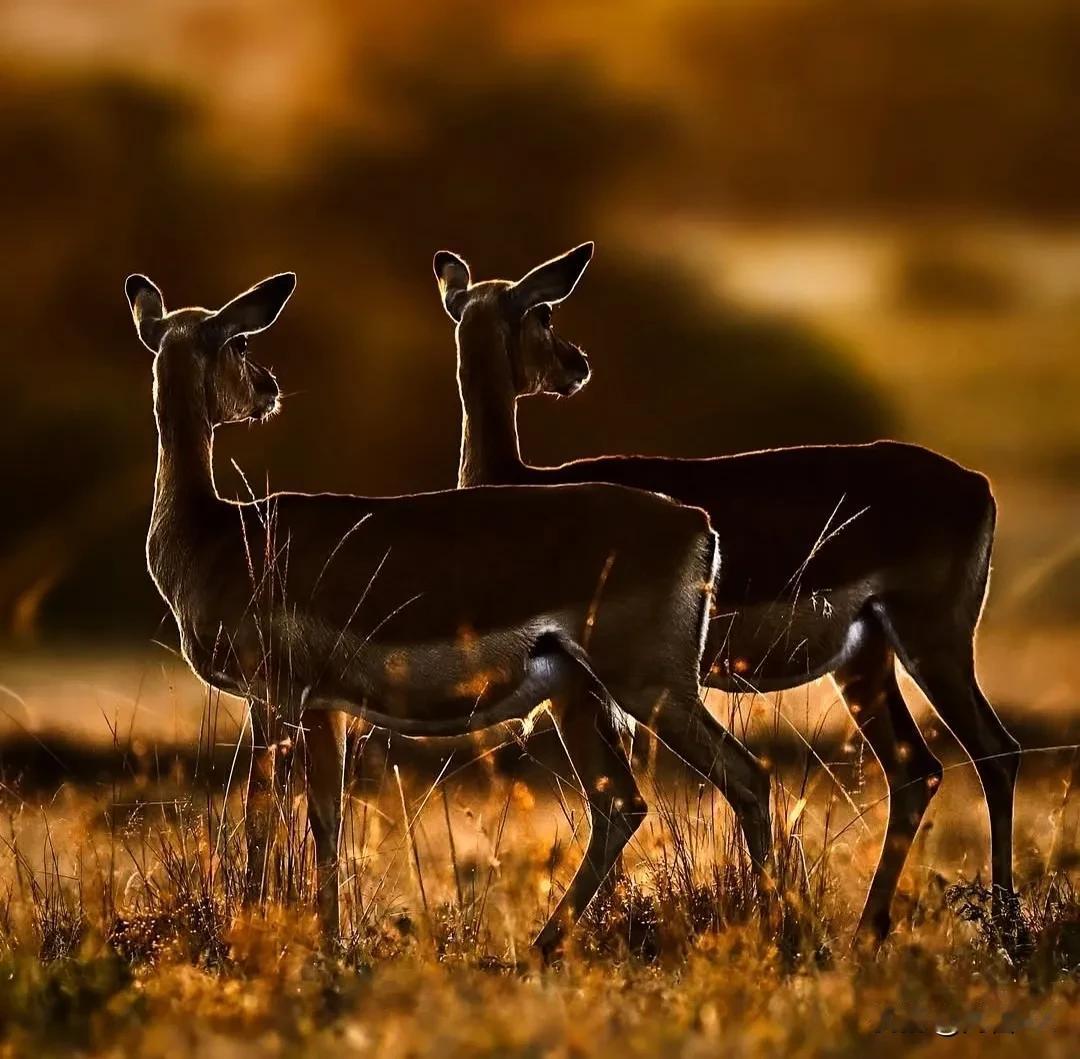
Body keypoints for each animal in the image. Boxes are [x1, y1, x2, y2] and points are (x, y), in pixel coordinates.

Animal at [126, 266, 768, 958]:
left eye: (241, 339)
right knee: (622, 806)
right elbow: (326, 820)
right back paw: (540, 947)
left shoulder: (273, 699)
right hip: (582, 697)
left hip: (650, 688)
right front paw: (331, 943)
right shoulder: (324, 709)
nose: (269, 389)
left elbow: (260, 818)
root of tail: (696, 523)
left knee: (746, 776)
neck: (216, 535)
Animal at [429, 241, 1019, 949]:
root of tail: (976, 484)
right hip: (867, 657)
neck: (522, 483)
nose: (577, 365)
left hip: (933, 643)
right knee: (917, 768)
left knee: (995, 753)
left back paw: (1004, 930)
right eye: (544, 313)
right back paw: (867, 934)